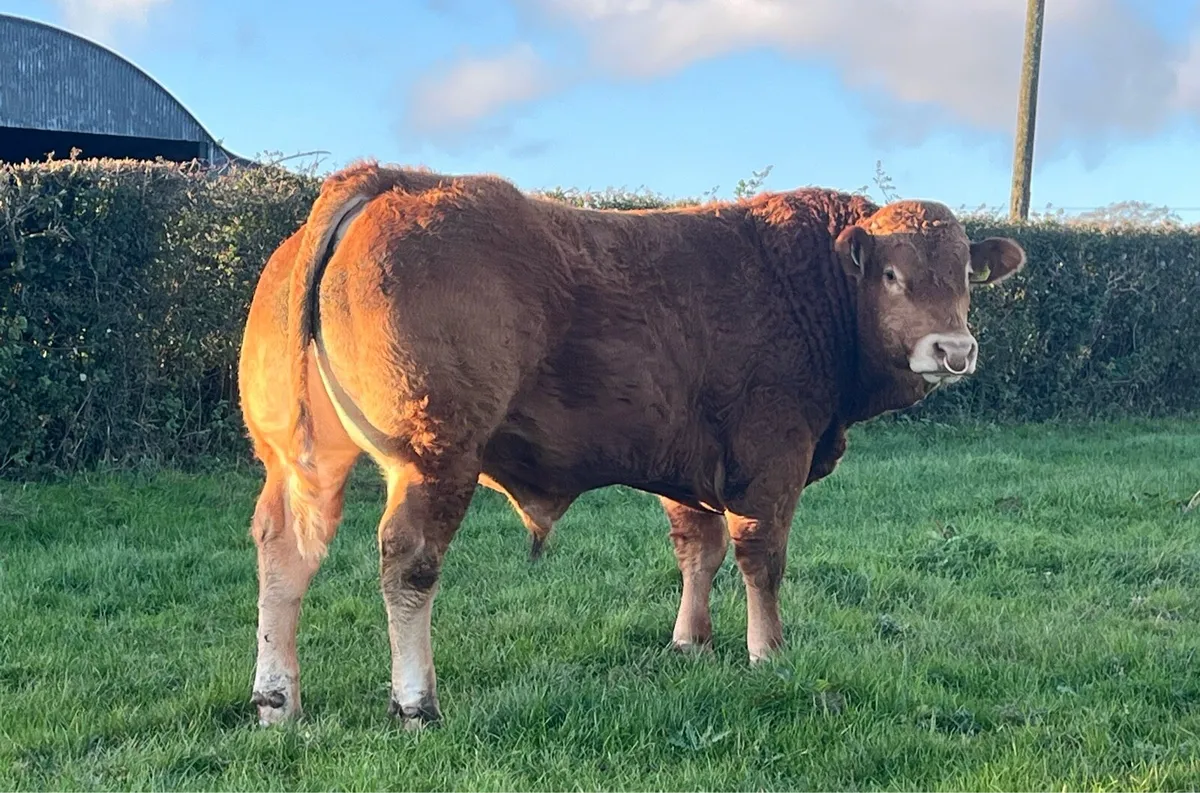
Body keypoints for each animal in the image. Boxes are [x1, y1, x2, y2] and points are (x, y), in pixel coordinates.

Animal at [237, 161, 1026, 729]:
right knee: (409, 563)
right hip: (435, 454)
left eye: (965, 276)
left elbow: (698, 550)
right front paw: (768, 653)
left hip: (301, 459)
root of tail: (391, 178)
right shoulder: (772, 457)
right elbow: (761, 560)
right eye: (893, 275)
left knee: (286, 551)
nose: (954, 350)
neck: (810, 286)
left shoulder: (693, 466)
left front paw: (689, 641)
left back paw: (278, 701)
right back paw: (416, 704)